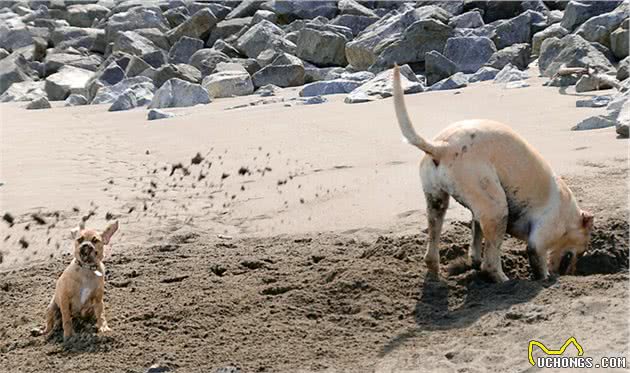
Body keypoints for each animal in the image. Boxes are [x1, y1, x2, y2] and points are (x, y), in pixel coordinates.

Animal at [392, 65, 596, 280]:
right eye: (582, 250)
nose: (573, 272)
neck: (569, 216)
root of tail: (441, 147)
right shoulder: (538, 243)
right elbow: (539, 267)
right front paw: (545, 279)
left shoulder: (477, 215)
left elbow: (476, 239)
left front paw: (472, 261)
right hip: (497, 209)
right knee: (490, 264)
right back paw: (504, 280)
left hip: (438, 202)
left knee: (432, 251)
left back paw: (435, 277)